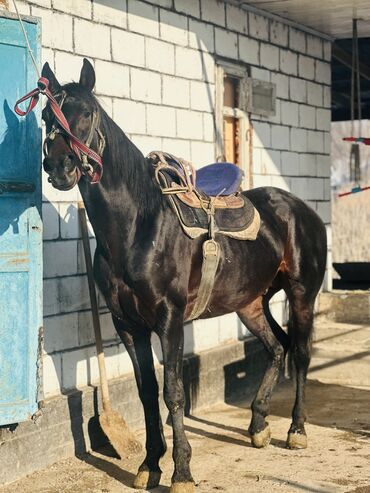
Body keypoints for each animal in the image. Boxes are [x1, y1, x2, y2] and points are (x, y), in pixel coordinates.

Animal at [40, 60, 326, 492]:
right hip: (250, 302)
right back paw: (258, 424)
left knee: (302, 353)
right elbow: (146, 391)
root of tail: (302, 210)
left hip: (302, 294)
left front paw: (182, 472)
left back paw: (296, 430)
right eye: (45, 116)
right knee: (277, 347)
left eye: (86, 113)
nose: (59, 167)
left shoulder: (169, 320)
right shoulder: (129, 325)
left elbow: (173, 392)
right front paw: (149, 464)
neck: (138, 227)